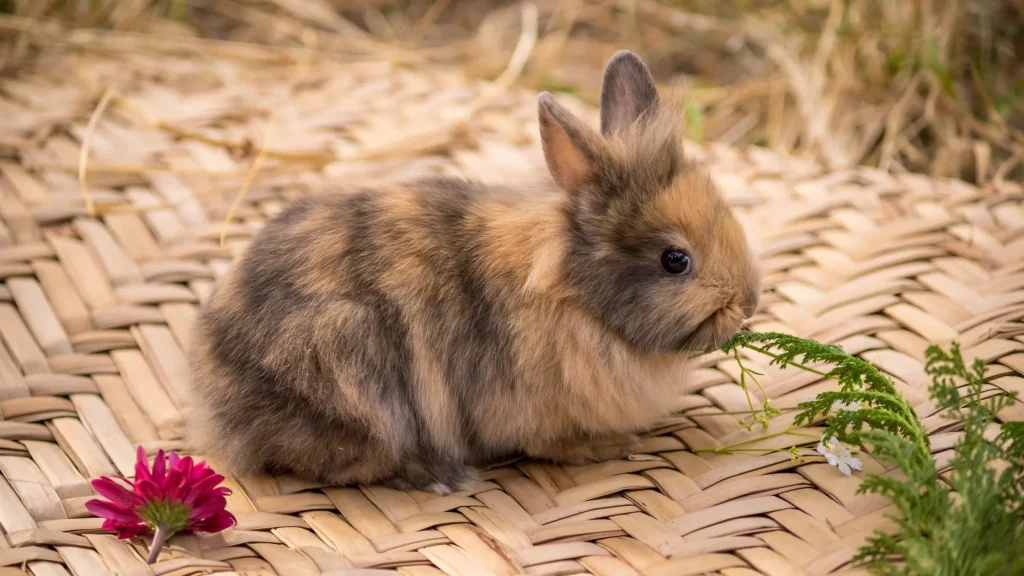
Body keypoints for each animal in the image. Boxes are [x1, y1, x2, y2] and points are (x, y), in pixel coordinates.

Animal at [188, 50, 761, 493]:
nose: (749, 303)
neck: (577, 298)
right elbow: (554, 443)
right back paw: (435, 474)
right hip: (344, 365)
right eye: (675, 260)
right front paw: (611, 445)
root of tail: (216, 400)